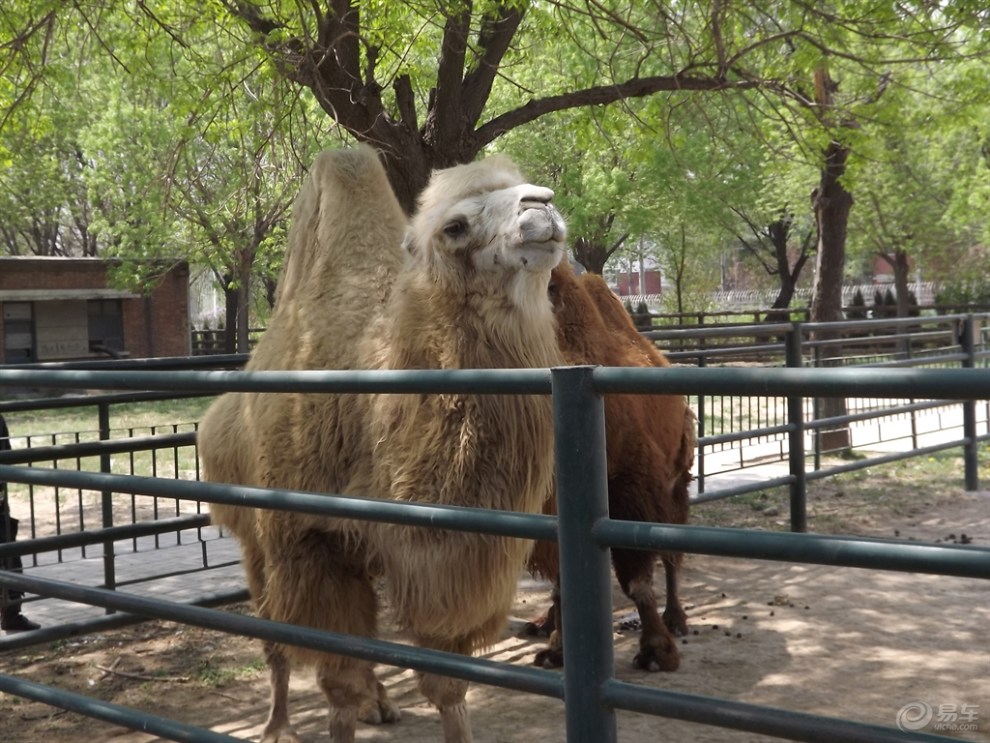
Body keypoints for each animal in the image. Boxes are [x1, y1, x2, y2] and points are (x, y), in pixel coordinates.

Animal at [199, 147, 568, 743]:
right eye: (454, 226)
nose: (542, 206)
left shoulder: (445, 563)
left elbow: (448, 687)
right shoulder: (308, 543)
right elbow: (337, 684)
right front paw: (334, 715)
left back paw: (382, 704)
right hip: (252, 536)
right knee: (274, 635)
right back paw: (277, 724)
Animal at [528, 260, 696, 676]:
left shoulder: (630, 486)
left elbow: (636, 576)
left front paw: (656, 652)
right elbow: (562, 582)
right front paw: (556, 650)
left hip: (677, 482)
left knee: (673, 551)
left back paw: (676, 619)